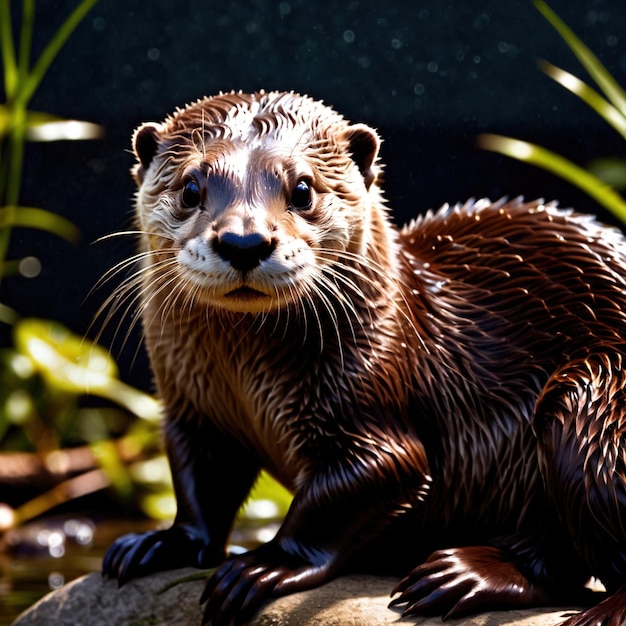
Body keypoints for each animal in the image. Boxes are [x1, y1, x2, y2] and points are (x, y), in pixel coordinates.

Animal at [101, 89, 624, 624]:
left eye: (303, 189)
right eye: (190, 188)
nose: (243, 241)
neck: (243, 383)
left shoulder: (370, 402)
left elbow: (366, 481)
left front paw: (265, 563)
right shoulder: (193, 409)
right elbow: (199, 485)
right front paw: (164, 543)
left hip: (592, 400)